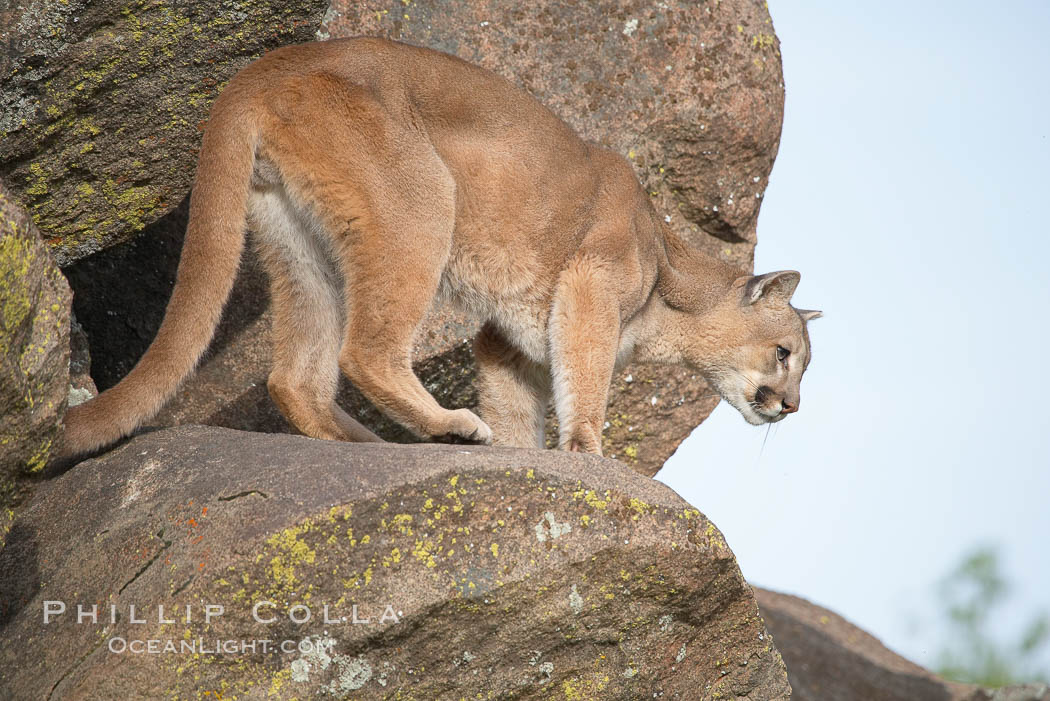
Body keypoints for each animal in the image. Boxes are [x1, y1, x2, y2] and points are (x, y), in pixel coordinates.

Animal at [61, 38, 823, 457]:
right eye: (785, 354)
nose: (792, 408)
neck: (671, 285)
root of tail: (267, 66)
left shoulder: (507, 340)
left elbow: (519, 408)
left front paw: (526, 455)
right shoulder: (589, 286)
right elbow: (585, 384)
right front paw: (588, 452)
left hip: (300, 247)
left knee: (295, 377)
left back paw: (370, 443)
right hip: (422, 204)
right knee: (364, 352)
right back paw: (451, 428)